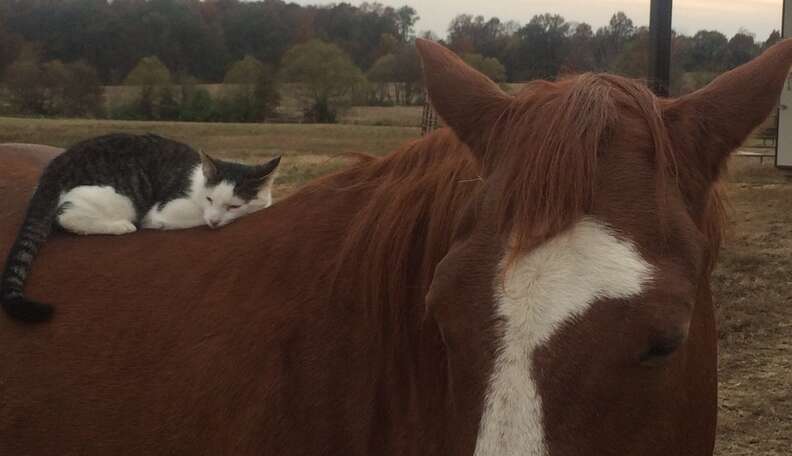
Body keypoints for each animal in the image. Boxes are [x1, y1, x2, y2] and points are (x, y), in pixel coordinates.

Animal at [0, 134, 282, 322]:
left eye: (233, 205)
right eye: (210, 199)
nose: (214, 220)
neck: (198, 183)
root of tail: (58, 165)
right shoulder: (167, 209)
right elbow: (183, 217)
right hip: (121, 199)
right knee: (65, 216)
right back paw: (121, 226)